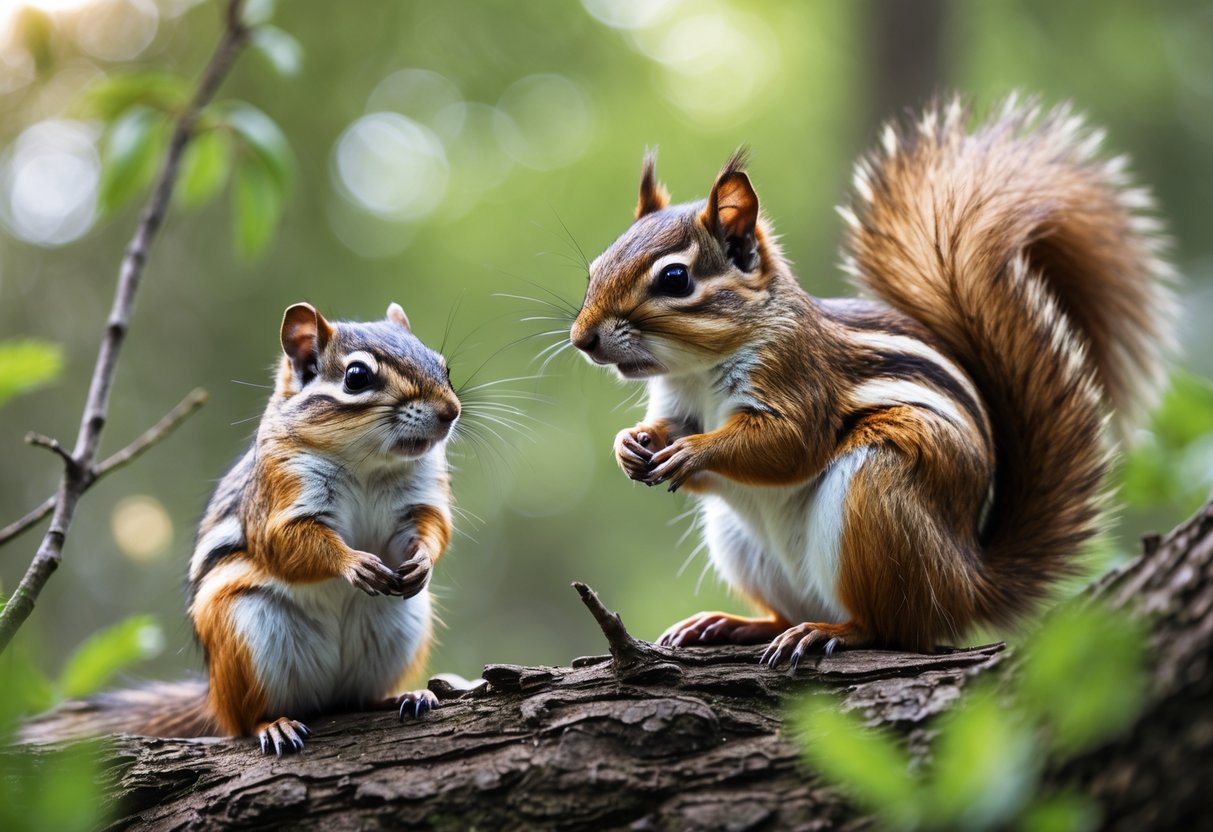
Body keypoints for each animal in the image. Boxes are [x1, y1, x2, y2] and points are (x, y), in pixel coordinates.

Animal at [23, 302, 460, 754]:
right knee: (246, 720)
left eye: (443, 366)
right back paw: (274, 724)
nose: (451, 412)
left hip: (400, 628)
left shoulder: (420, 499)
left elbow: (434, 528)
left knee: (359, 698)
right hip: (246, 635)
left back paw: (404, 696)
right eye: (357, 377)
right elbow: (286, 544)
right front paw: (354, 562)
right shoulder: (279, 498)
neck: (368, 464)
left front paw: (423, 562)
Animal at [569, 97, 1176, 661]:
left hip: (877, 498)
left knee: (891, 627)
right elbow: (669, 429)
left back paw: (831, 632)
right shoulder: (677, 403)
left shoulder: (799, 377)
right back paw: (730, 624)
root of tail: (967, 585)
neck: (697, 368)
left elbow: (786, 445)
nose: (582, 339)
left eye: (675, 278)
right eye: (596, 265)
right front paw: (631, 444)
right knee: (784, 611)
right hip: (742, 543)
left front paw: (695, 451)